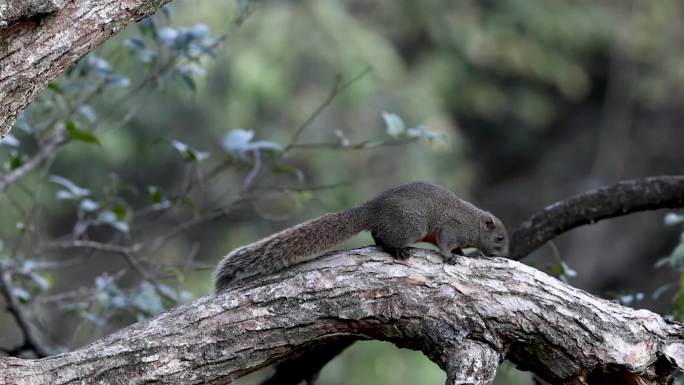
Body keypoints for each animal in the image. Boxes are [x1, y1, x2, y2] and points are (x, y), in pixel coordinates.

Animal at [214, 181, 508, 292]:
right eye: (500, 238)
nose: (502, 254)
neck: (473, 222)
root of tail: (374, 208)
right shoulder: (451, 227)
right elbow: (446, 243)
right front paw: (450, 257)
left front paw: (461, 253)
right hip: (409, 226)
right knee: (384, 238)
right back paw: (397, 251)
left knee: (377, 234)